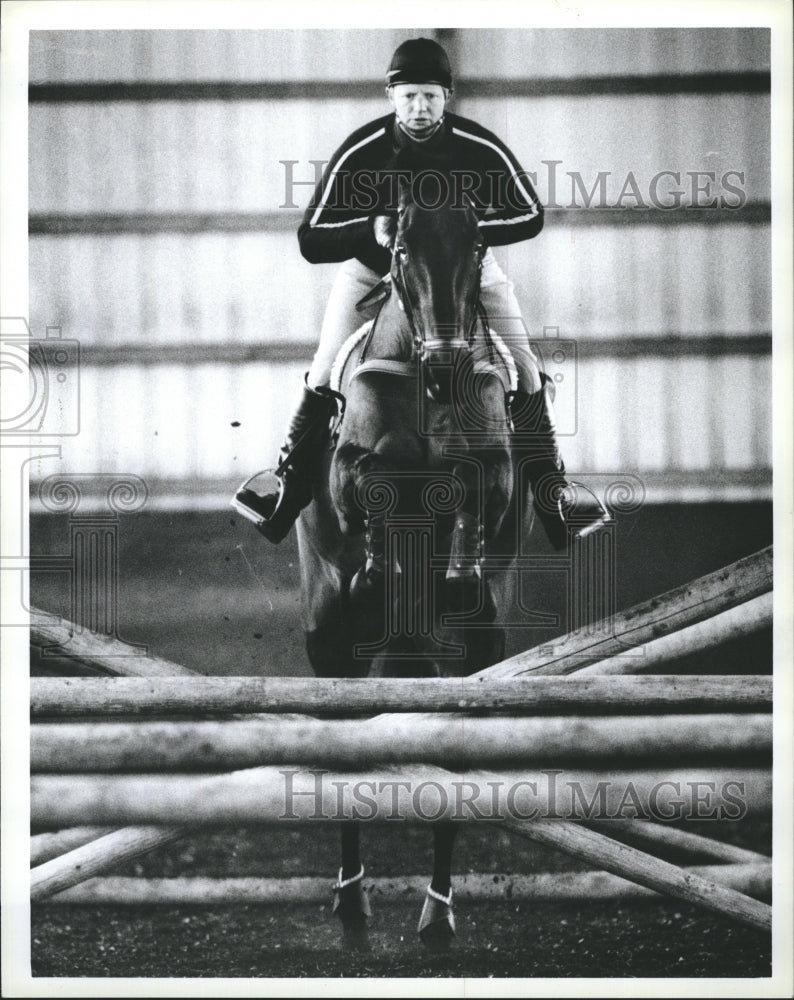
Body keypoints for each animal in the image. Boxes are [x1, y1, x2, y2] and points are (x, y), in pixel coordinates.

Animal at [294, 176, 528, 948]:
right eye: (398, 250)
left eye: (479, 244)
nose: (445, 362)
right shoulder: (351, 469)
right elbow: (366, 481)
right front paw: (376, 571)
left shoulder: (495, 469)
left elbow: (475, 487)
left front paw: (455, 575)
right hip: (326, 637)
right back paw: (352, 902)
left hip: (479, 655)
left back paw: (438, 910)